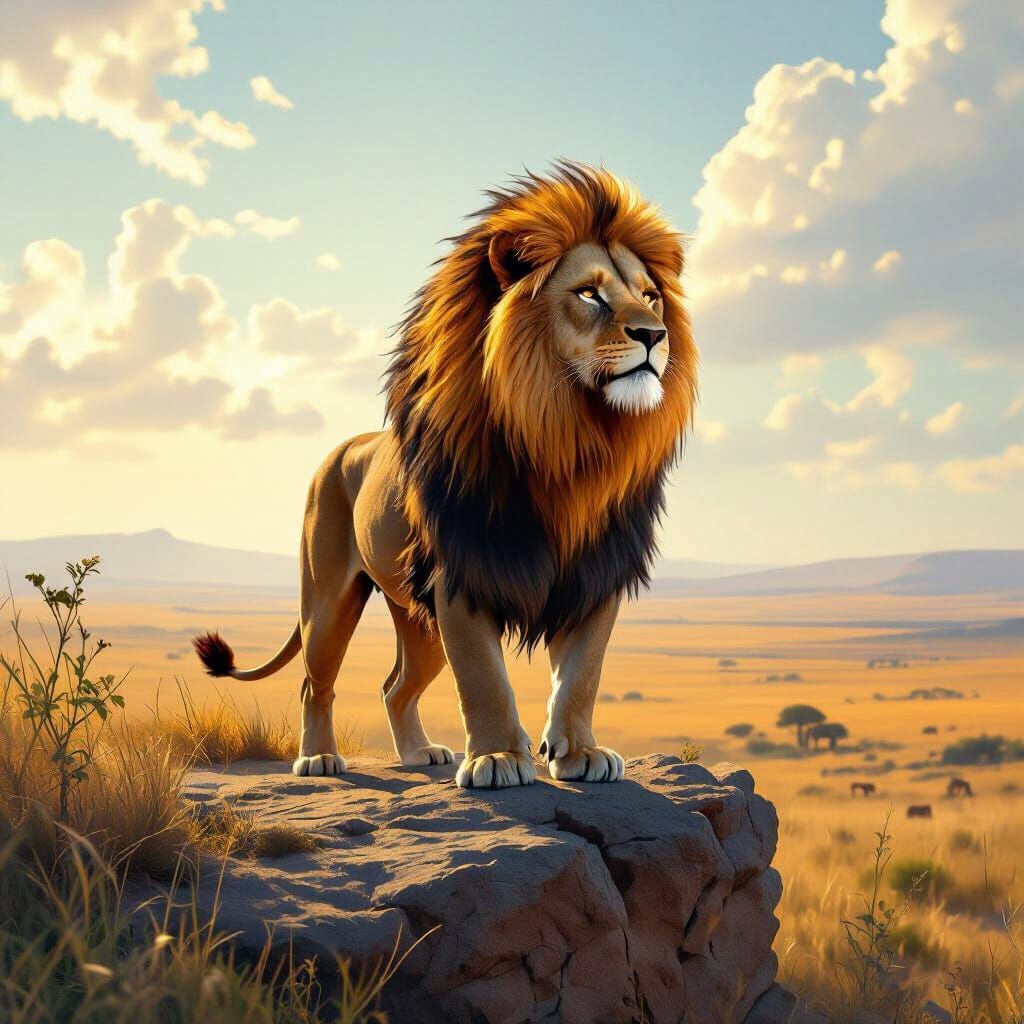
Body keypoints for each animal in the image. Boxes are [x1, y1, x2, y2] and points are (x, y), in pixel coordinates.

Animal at [193, 162, 697, 789]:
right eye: (589, 293)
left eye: (651, 296)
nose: (654, 334)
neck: (570, 442)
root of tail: (344, 446)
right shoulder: (463, 573)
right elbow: (484, 678)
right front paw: (499, 759)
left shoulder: (595, 574)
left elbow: (582, 676)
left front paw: (580, 753)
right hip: (329, 599)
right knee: (316, 682)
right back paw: (318, 760)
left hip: (418, 620)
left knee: (394, 686)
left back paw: (417, 752)